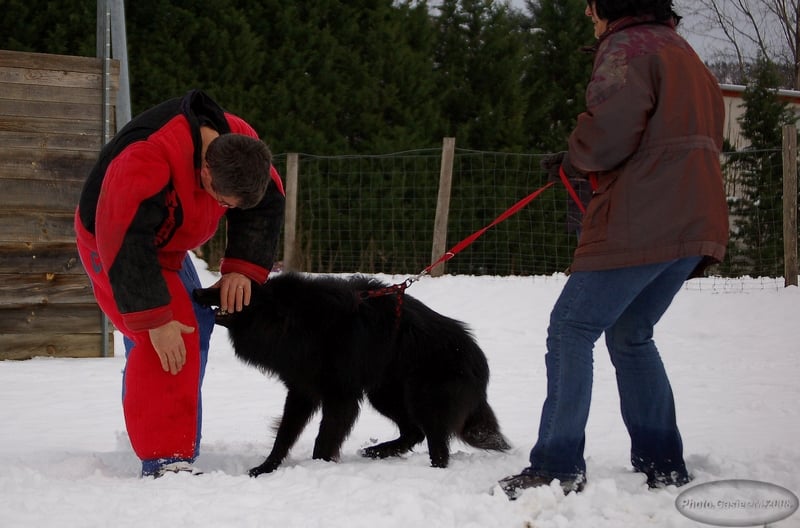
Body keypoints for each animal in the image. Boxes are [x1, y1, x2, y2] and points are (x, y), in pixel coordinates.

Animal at [191, 274, 510, 476]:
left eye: (227, 292)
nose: (195, 292)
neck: (301, 324)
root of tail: (477, 358)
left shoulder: (340, 396)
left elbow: (324, 437)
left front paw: (319, 467)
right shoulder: (301, 392)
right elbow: (284, 435)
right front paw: (265, 468)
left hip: (422, 400)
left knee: (436, 444)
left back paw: (432, 470)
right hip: (384, 395)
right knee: (413, 431)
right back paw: (378, 451)